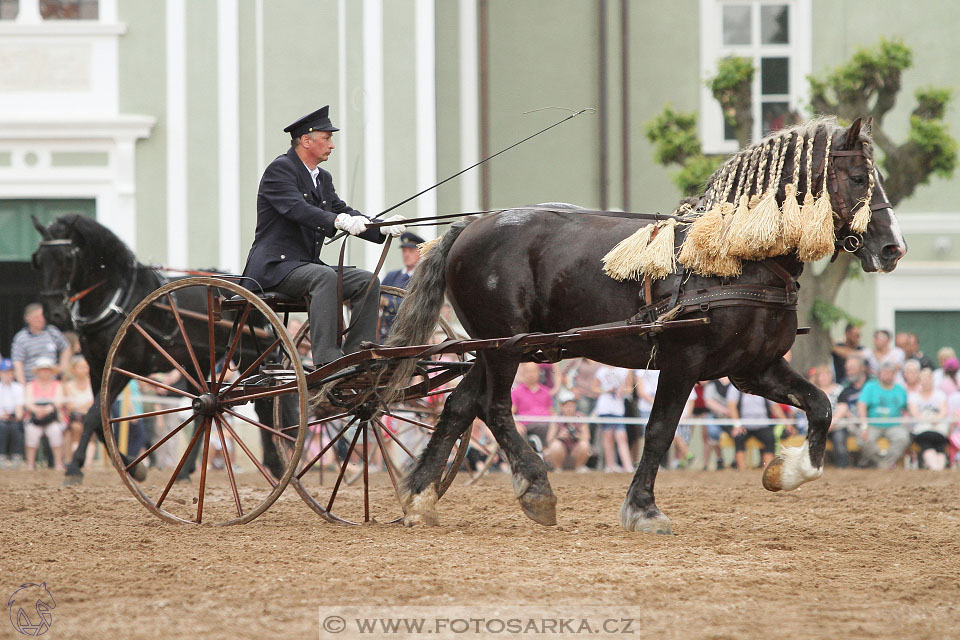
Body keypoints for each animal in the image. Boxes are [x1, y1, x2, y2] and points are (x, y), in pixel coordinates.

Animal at [31, 215, 288, 484]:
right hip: (198, 362)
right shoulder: (96, 368)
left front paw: (75, 468)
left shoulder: (124, 364)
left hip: (251, 355)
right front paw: (132, 466)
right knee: (207, 409)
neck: (116, 298)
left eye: (67, 259)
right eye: (39, 260)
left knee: (263, 404)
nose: (53, 313)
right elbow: (100, 418)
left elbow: (93, 415)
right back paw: (186, 471)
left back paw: (275, 463)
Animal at [390, 117, 908, 532]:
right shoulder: (683, 362)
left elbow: (821, 405)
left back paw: (419, 495)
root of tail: (470, 225)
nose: (893, 249)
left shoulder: (754, 369)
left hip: (494, 346)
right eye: (859, 178)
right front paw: (643, 509)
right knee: (494, 407)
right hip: (506, 346)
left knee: (460, 404)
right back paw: (535, 487)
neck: (738, 258)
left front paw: (787, 471)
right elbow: (659, 431)